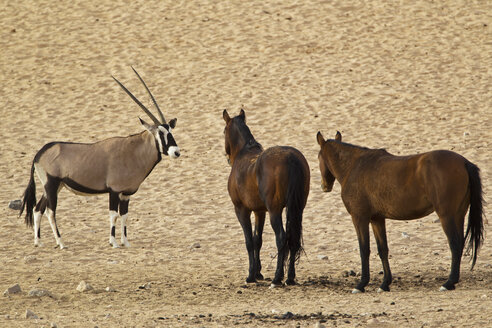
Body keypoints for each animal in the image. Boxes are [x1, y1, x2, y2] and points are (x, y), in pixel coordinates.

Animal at [20, 68, 181, 249]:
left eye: (170, 131)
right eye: (160, 133)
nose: (176, 152)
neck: (134, 151)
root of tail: (40, 153)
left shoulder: (126, 193)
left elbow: (124, 215)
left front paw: (126, 242)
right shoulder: (114, 191)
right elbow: (114, 215)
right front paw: (114, 242)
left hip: (55, 186)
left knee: (37, 209)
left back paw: (38, 242)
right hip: (51, 185)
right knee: (50, 211)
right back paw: (61, 243)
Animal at [224, 110, 310, 288]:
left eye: (224, 131)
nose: (227, 156)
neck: (243, 153)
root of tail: (291, 158)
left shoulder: (242, 210)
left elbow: (249, 241)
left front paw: (251, 275)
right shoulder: (260, 211)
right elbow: (258, 239)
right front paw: (258, 272)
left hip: (275, 211)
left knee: (282, 238)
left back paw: (278, 277)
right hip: (297, 209)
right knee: (293, 240)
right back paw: (290, 277)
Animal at [316, 131, 484, 292]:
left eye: (318, 157)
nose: (324, 186)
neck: (355, 166)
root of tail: (463, 162)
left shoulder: (359, 218)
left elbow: (364, 250)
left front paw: (361, 284)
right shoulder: (377, 219)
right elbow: (382, 249)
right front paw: (385, 284)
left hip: (447, 216)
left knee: (454, 245)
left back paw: (448, 283)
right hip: (458, 216)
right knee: (460, 244)